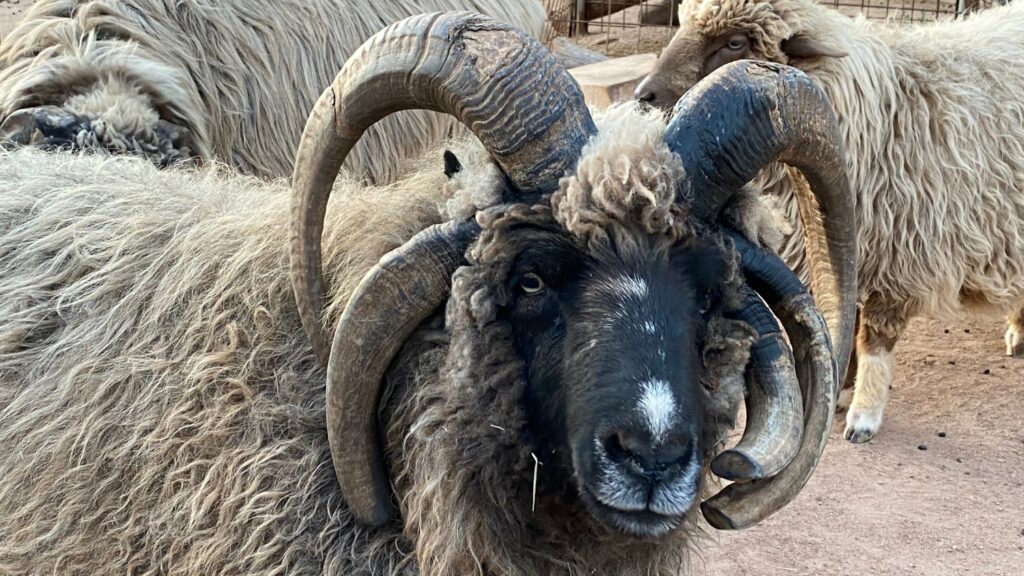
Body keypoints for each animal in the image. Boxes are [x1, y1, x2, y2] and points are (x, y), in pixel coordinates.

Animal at [630, 0, 1024, 440]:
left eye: (735, 42)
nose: (643, 96)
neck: (876, 113)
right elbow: (848, 320)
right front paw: (841, 386)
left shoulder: (901, 260)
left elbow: (874, 340)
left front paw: (863, 414)